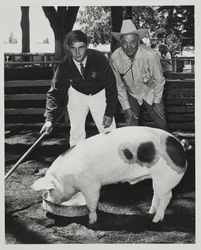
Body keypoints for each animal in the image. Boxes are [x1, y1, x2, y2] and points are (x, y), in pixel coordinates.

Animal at [31, 127, 187, 225]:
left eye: (50, 190)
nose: (50, 200)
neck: (67, 176)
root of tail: (180, 147)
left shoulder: (91, 185)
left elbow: (92, 203)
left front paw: (91, 222)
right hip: (157, 178)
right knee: (157, 194)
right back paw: (150, 212)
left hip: (166, 178)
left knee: (167, 197)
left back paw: (156, 220)